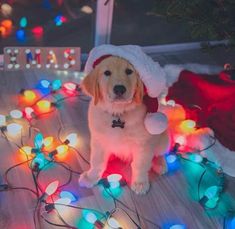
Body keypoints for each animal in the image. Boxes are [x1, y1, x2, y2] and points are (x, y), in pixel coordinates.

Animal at [79, 56, 169, 194]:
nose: (119, 89)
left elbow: (140, 164)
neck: (118, 113)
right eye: (107, 73)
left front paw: (140, 183)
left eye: (129, 71)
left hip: (162, 137)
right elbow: (97, 161)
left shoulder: (142, 144)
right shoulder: (99, 140)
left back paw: (159, 163)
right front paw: (91, 177)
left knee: (159, 153)